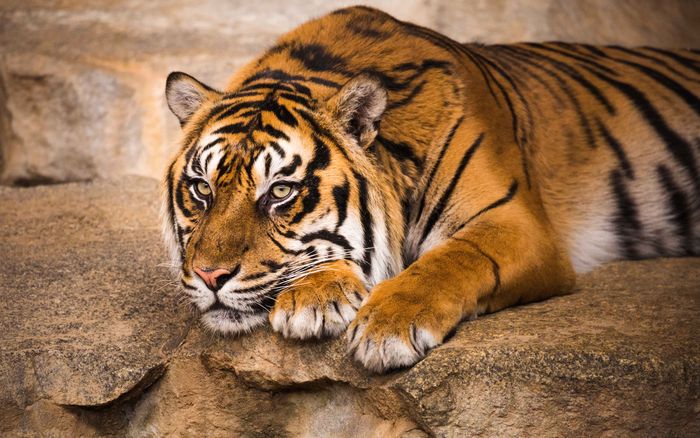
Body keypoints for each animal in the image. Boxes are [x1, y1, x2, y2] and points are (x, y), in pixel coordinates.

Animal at [162, 6, 700, 372]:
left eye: (279, 192)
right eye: (201, 189)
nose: (210, 276)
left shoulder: (515, 222)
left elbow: (452, 259)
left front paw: (385, 327)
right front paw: (316, 295)